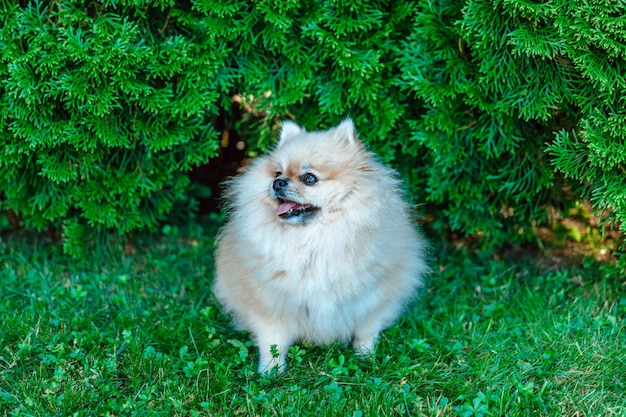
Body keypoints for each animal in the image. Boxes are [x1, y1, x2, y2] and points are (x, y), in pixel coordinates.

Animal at [213, 118, 424, 372]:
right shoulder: (270, 305)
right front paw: (271, 370)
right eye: (277, 172)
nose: (277, 182)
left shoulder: (373, 300)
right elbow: (273, 341)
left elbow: (366, 331)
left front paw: (365, 357)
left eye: (309, 178)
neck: (312, 243)